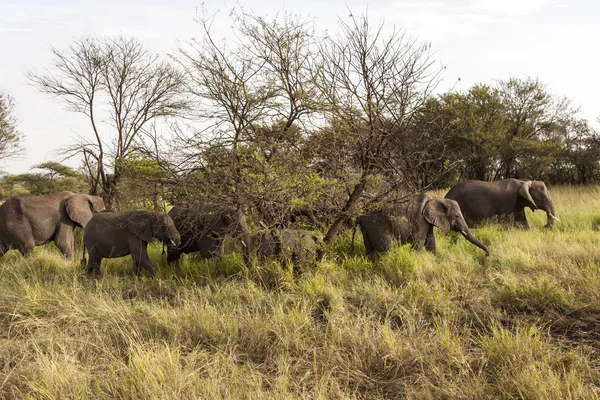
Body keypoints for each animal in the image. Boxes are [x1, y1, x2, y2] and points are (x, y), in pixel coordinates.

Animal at [352, 194, 488, 260]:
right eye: (457, 216)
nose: (486, 255)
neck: (438, 199)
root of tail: (360, 217)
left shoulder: (428, 221)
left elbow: (430, 241)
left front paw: (435, 262)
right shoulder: (421, 219)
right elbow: (419, 241)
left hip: (368, 228)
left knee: (371, 248)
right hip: (377, 224)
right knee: (387, 247)